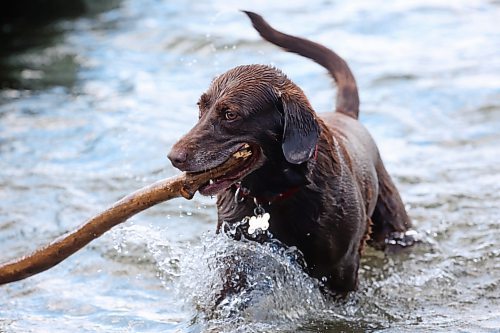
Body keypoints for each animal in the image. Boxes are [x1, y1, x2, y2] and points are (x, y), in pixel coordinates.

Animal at [169, 11, 414, 294]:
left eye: (230, 114)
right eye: (201, 107)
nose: (173, 157)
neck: (273, 195)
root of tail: (346, 114)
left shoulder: (341, 271)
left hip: (394, 225)